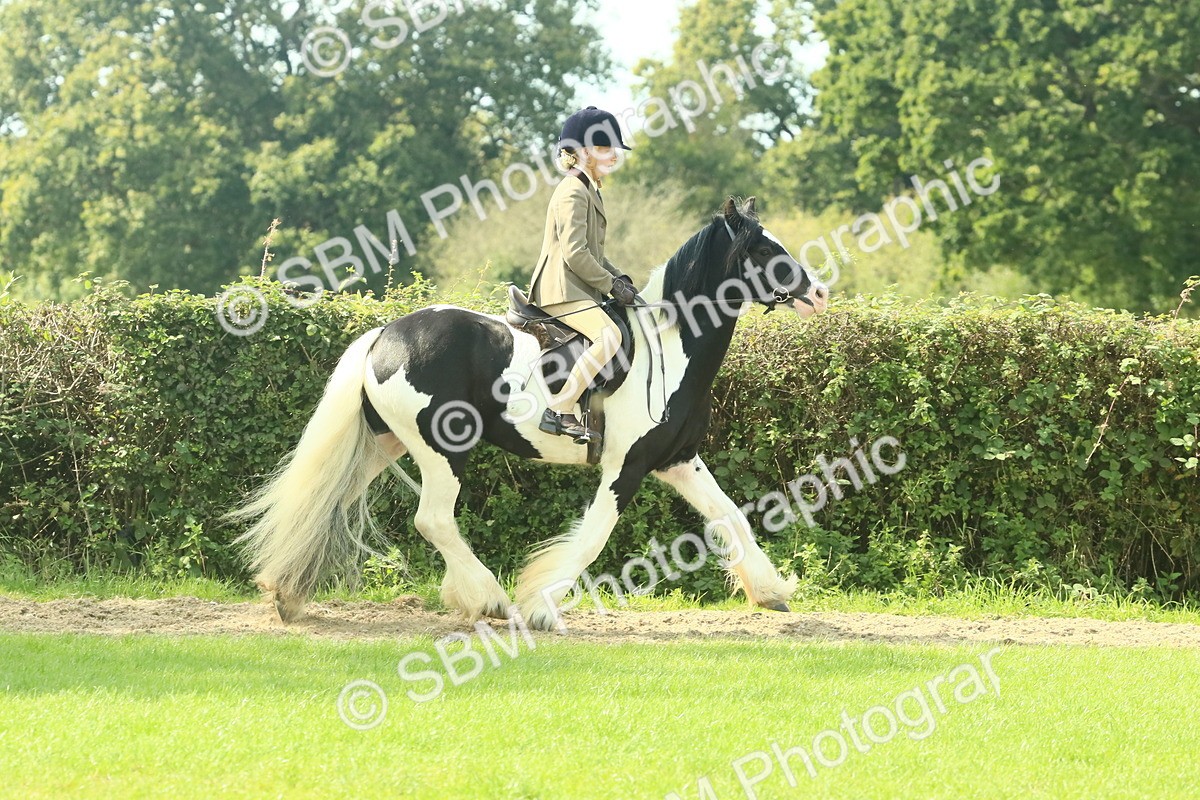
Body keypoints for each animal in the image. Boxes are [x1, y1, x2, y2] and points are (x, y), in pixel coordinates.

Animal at [230, 196, 830, 631]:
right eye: (764, 251)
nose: (819, 292)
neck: (671, 344)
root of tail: (384, 334)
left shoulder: (678, 459)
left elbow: (729, 515)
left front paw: (772, 591)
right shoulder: (627, 467)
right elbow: (593, 536)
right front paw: (541, 607)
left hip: (384, 444)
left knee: (329, 500)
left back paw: (288, 593)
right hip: (442, 450)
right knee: (433, 519)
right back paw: (489, 600)